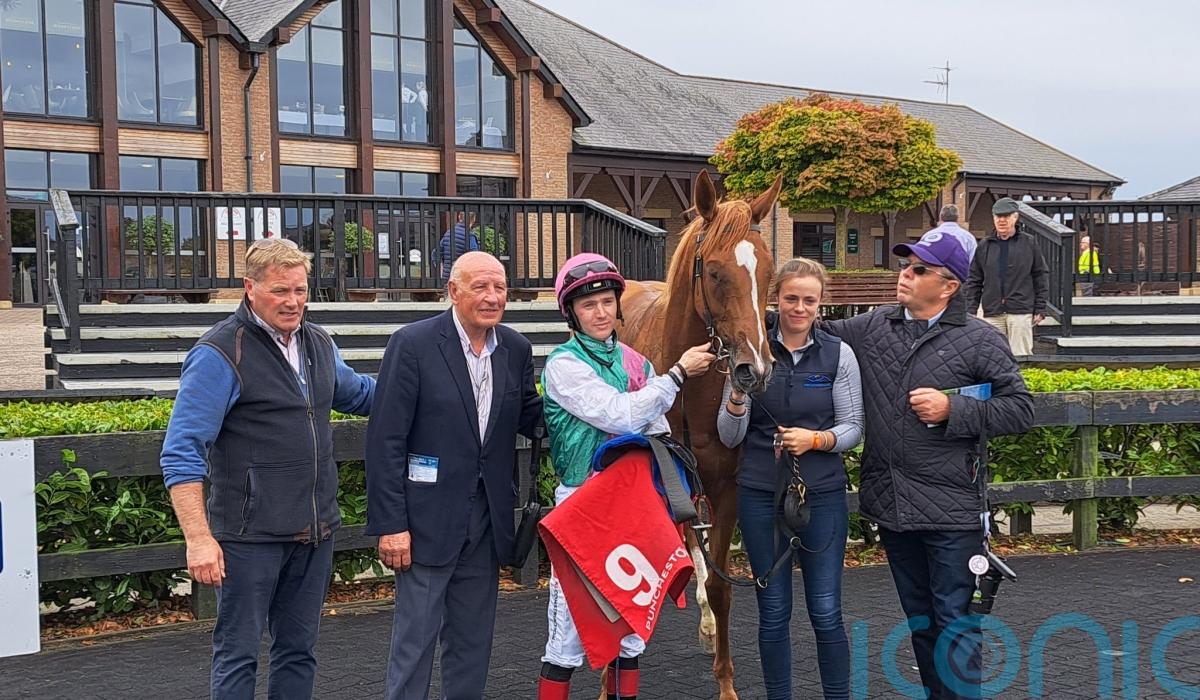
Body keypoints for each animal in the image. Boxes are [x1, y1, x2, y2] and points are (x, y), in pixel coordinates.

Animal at [619, 169, 782, 700]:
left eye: (768, 272)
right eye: (713, 272)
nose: (756, 369)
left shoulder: (727, 488)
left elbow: (722, 583)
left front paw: (726, 679)